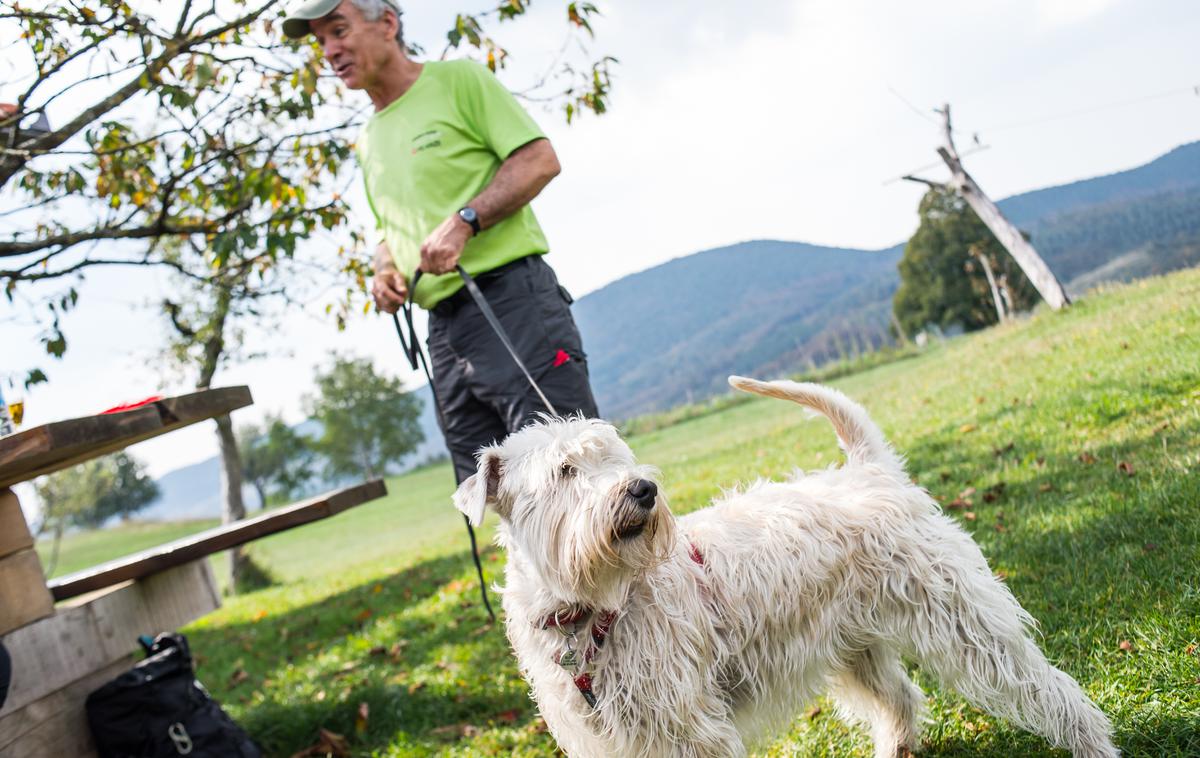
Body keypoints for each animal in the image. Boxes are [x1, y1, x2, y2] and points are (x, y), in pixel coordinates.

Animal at [451, 376, 1113, 753]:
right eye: (565, 470)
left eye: (616, 457)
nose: (643, 489)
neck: (586, 610)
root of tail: (869, 471)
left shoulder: (686, 726)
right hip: (856, 648)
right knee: (900, 700)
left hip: (964, 624)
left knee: (1049, 690)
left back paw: (1093, 745)